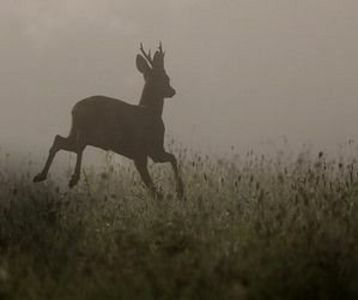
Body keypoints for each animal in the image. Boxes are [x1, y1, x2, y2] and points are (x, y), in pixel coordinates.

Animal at [32, 41, 185, 198]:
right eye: (166, 78)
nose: (172, 91)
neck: (150, 110)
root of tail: (74, 109)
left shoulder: (144, 153)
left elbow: (153, 182)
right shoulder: (150, 149)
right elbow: (171, 160)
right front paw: (179, 191)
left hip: (75, 131)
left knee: (60, 140)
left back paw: (40, 176)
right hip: (94, 132)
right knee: (79, 143)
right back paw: (73, 178)